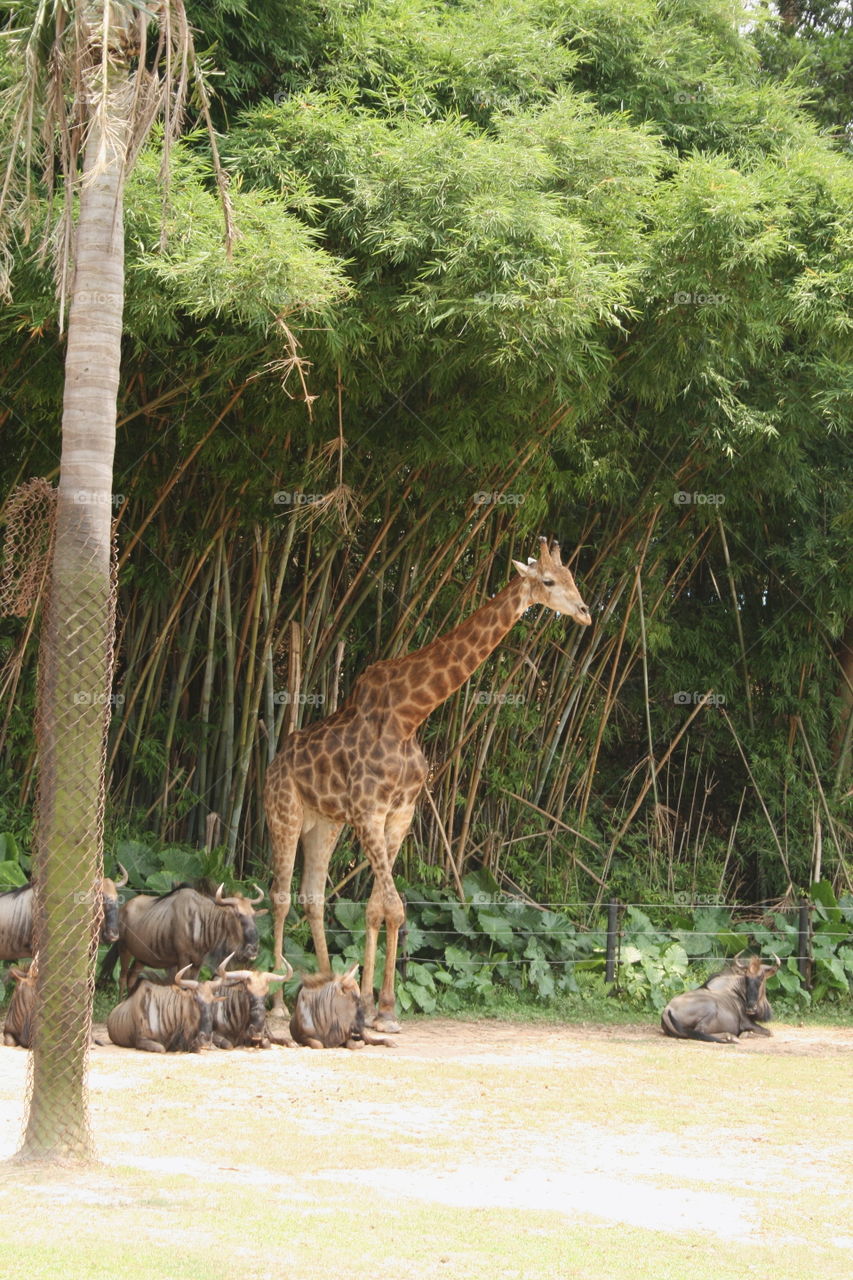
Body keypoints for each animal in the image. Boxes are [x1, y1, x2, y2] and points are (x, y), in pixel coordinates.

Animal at [262, 535, 589, 1034]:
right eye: (549, 581)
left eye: (573, 578)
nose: (586, 612)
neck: (410, 715)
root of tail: (274, 763)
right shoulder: (369, 812)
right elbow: (395, 907)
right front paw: (382, 1011)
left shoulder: (400, 814)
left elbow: (377, 908)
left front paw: (378, 1006)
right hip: (284, 815)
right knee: (280, 897)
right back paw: (280, 1004)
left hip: (325, 824)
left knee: (313, 896)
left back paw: (323, 986)